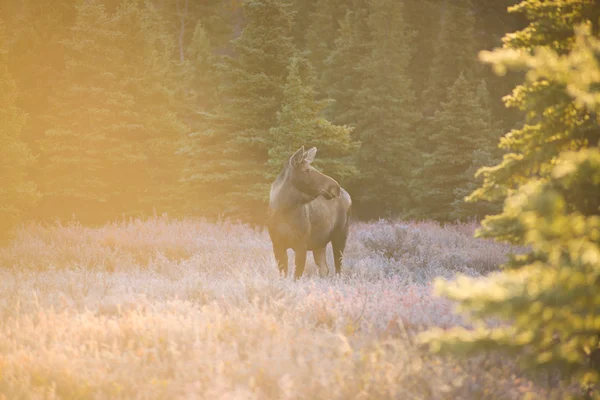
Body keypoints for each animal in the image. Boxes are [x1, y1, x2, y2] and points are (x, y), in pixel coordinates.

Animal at [268, 145, 352, 280]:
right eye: (307, 170)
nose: (335, 187)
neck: (284, 210)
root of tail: (348, 195)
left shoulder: (302, 244)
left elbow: (296, 276)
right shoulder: (277, 244)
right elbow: (284, 274)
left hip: (341, 234)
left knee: (338, 269)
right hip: (320, 244)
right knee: (324, 269)